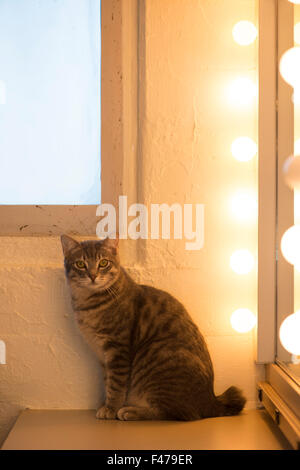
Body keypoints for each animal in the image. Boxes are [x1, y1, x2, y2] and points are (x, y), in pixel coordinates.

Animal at [61, 235, 246, 422]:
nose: (93, 275)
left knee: (177, 413)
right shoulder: (103, 356)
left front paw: (111, 408)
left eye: (103, 263)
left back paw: (131, 411)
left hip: (156, 359)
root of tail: (211, 401)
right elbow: (107, 382)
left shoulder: (118, 350)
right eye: (80, 264)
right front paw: (105, 403)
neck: (88, 303)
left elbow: (116, 386)